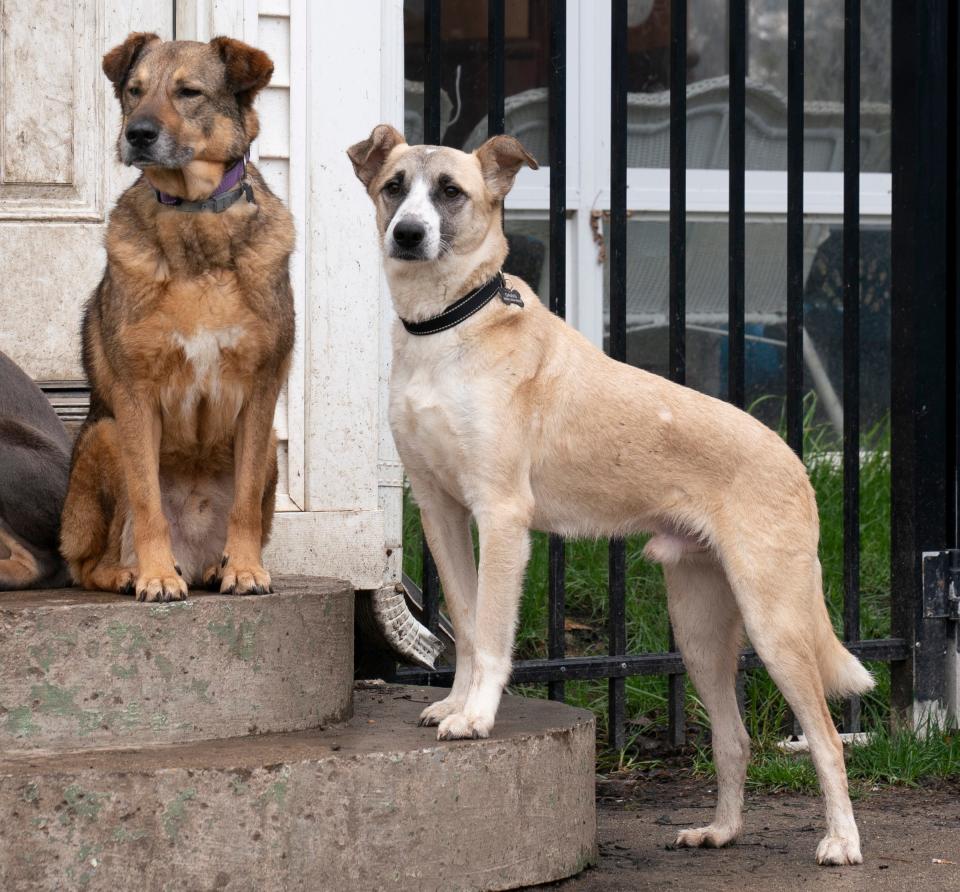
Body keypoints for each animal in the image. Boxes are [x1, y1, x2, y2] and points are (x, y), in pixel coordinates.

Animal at [61, 36, 292, 608]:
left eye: (189, 92)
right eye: (134, 90)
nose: (137, 134)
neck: (194, 213)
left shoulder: (261, 395)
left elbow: (244, 503)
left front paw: (246, 569)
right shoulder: (135, 396)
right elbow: (147, 503)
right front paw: (156, 576)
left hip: (271, 452)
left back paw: (215, 565)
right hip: (105, 435)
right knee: (88, 565)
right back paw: (132, 572)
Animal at [350, 125, 876, 864]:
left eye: (451, 192)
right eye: (394, 186)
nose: (408, 233)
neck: (447, 325)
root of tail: (795, 463)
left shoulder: (502, 517)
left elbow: (492, 633)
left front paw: (477, 717)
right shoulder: (440, 513)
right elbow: (467, 622)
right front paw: (454, 706)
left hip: (776, 621)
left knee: (826, 738)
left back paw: (842, 842)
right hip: (700, 629)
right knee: (734, 738)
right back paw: (721, 830)